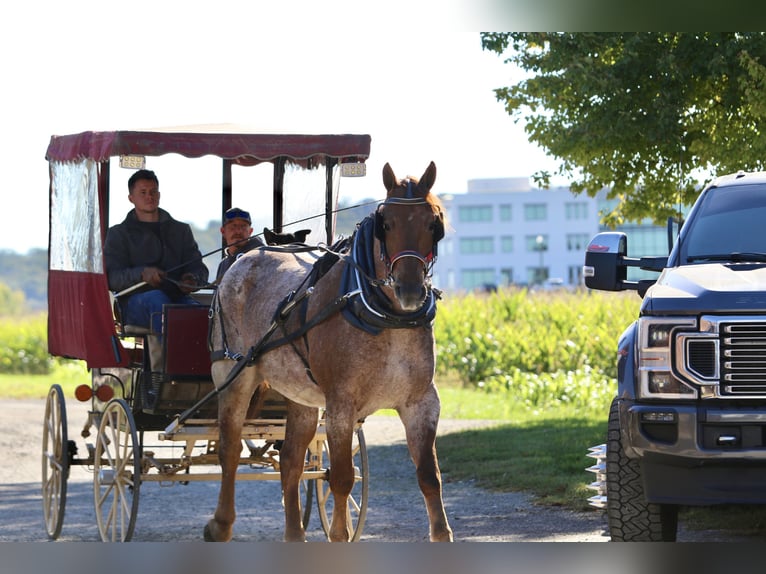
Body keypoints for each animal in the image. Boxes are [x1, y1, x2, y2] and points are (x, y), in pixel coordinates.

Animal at [204, 161, 452, 542]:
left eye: (433, 222)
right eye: (387, 223)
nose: (410, 290)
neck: (384, 315)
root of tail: (244, 257)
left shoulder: (421, 403)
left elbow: (429, 476)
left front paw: (442, 533)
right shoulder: (340, 405)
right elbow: (342, 478)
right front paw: (340, 532)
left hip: (301, 395)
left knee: (291, 461)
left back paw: (294, 533)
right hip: (234, 376)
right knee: (229, 449)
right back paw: (221, 524)